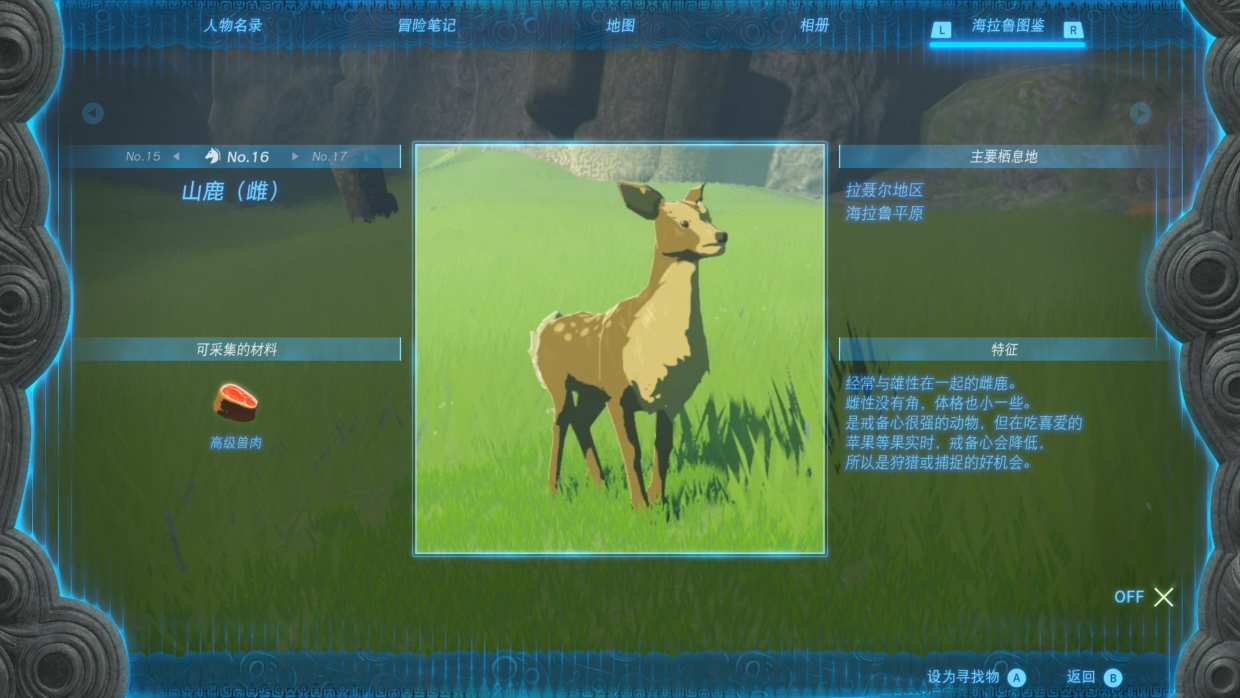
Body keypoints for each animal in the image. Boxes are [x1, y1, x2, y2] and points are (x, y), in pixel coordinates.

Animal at [529, 181, 728, 511]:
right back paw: (554, 490)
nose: (721, 236)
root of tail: (543, 330)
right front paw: (640, 507)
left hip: (592, 391)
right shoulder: (619, 390)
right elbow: (631, 450)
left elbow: (663, 449)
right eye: (683, 222)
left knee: (580, 420)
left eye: (707, 215)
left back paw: (602, 485)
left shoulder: (670, 398)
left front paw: (659, 500)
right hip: (558, 381)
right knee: (560, 422)